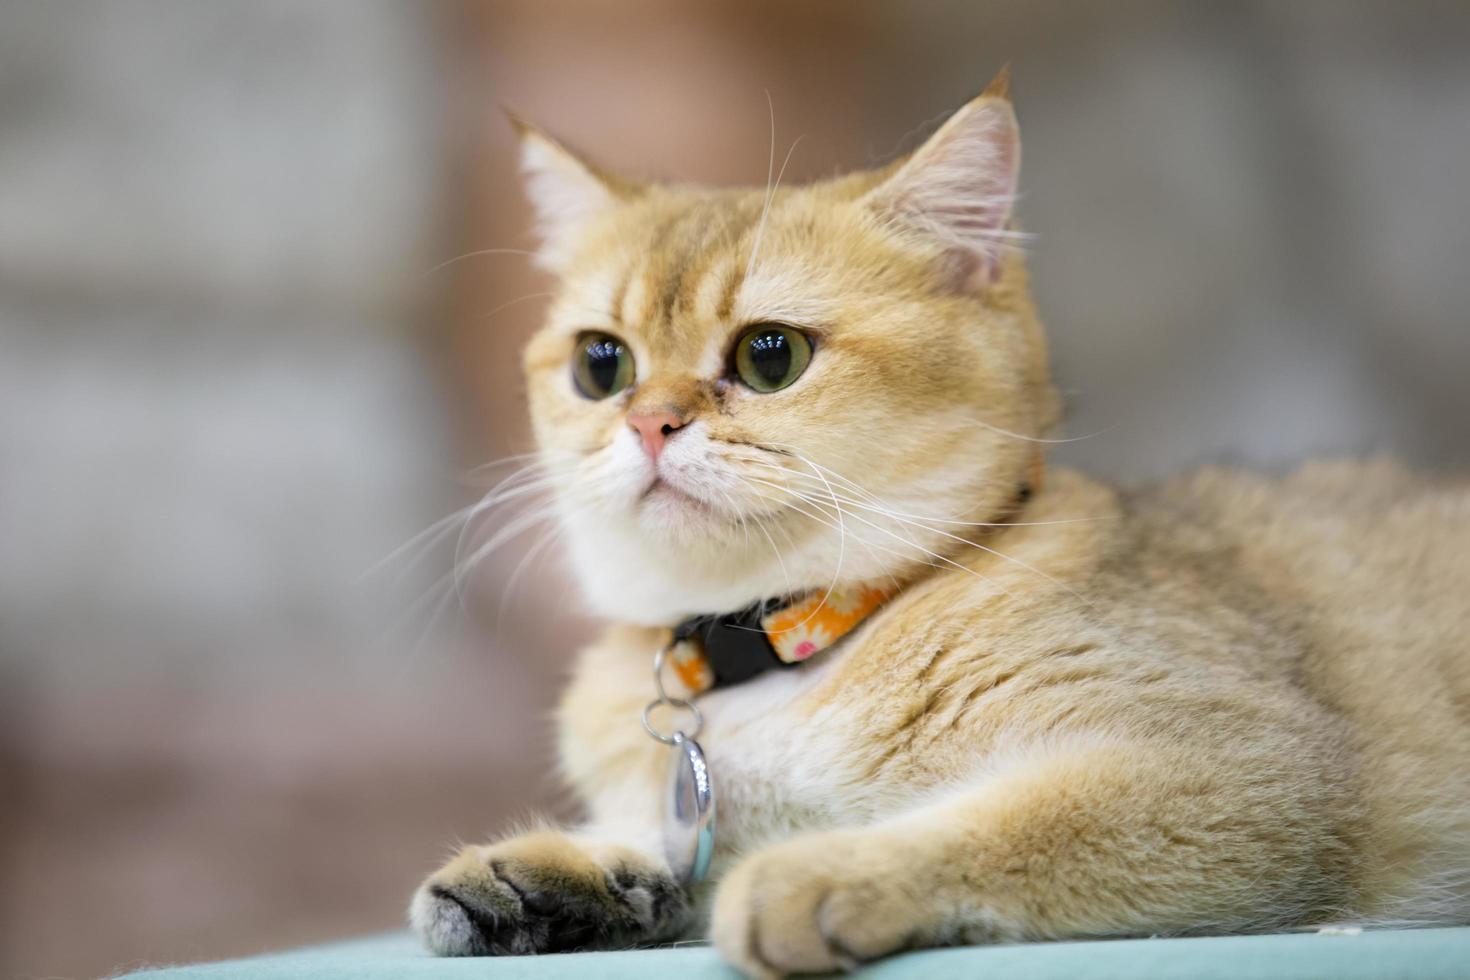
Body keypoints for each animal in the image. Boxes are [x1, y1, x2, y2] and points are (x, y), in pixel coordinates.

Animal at [411, 70, 1470, 980]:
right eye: (602, 365)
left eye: (768, 355)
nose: (649, 424)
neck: (775, 649)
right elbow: (663, 847)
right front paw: (560, 875)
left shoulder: (1246, 768)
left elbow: (1005, 824)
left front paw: (820, 872)